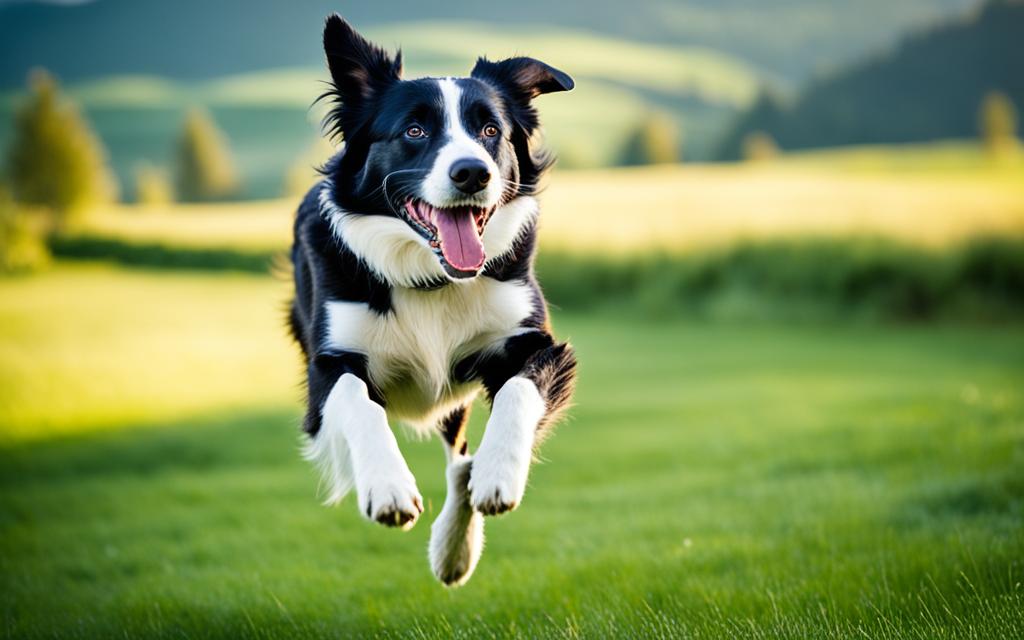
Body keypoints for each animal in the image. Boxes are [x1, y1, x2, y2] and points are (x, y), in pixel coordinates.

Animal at [288, 13, 577, 585]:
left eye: (491, 130)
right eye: (414, 130)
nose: (473, 173)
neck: (431, 277)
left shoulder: (533, 342)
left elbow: (518, 390)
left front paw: (499, 473)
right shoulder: (328, 364)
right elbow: (356, 400)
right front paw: (387, 486)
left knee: (460, 460)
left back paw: (453, 549)